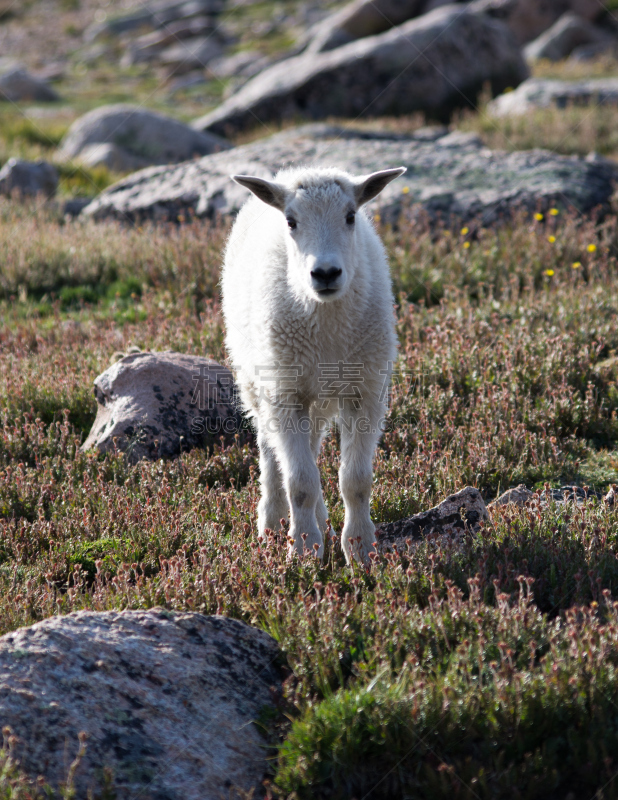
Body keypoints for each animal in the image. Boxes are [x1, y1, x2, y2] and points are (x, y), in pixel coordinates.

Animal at [221, 166, 404, 564]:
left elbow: (356, 481)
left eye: (350, 216)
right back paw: (273, 525)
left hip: (315, 394)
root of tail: (287, 173)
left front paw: (361, 551)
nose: (325, 273)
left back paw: (324, 525)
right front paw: (303, 551)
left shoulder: (365, 392)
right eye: (291, 221)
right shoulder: (285, 394)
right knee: (272, 453)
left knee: (312, 445)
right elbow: (300, 482)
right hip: (258, 379)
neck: (327, 324)